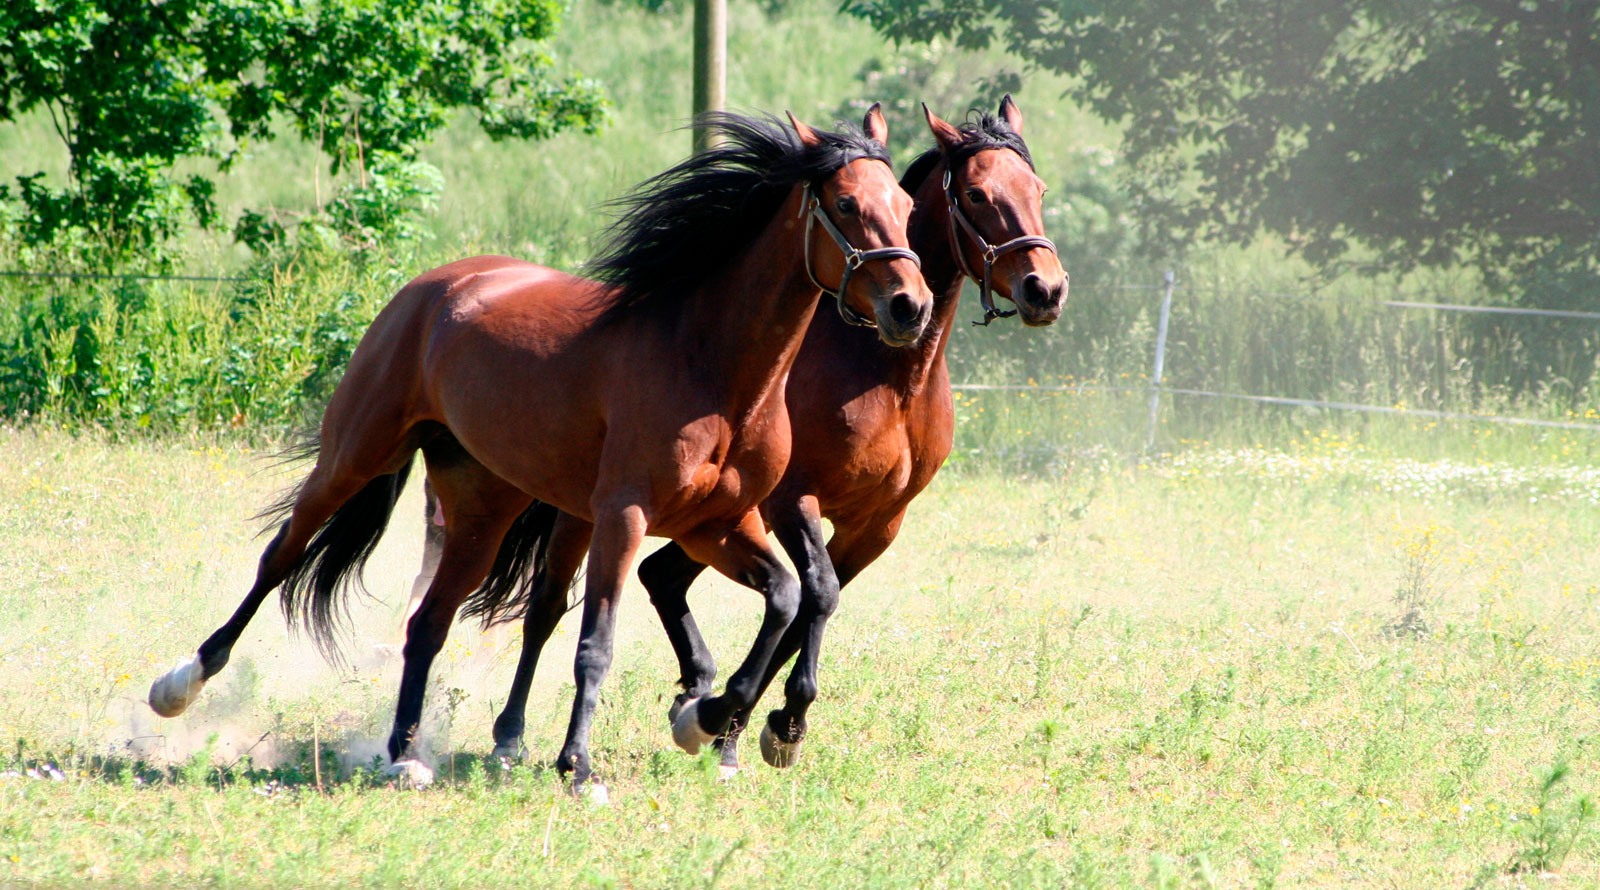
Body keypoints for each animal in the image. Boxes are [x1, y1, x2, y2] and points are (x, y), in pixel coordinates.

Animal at [148, 107, 933, 796]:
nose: (911, 307)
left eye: (903, 203)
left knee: (428, 622)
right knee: (282, 555)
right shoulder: (626, 517)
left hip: (482, 509)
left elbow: (788, 596)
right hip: (354, 457)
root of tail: (435, 287)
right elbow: (597, 643)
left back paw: (405, 754)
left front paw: (706, 717)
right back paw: (181, 684)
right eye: (845, 202)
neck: (713, 367)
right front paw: (581, 768)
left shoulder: (720, 525)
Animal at [436, 96, 1066, 772]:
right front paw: (767, 724)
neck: (889, 377)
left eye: (1037, 189)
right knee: (551, 606)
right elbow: (817, 594)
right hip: (598, 513)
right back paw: (513, 735)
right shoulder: (792, 501)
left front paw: (744, 724)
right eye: (975, 194)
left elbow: (813, 602)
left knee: (657, 577)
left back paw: (695, 692)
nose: (1046, 289)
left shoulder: (876, 524)